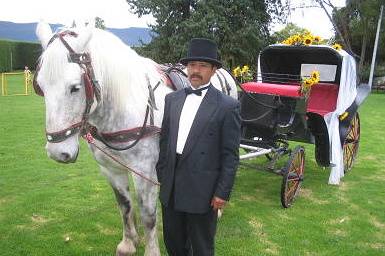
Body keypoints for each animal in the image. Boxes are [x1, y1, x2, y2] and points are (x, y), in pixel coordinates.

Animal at [34, 22, 237, 256]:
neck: (124, 106)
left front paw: (151, 250)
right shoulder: (111, 169)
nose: (57, 152)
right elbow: (124, 205)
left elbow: (148, 215)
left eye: (75, 87)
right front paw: (128, 242)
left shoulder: (144, 170)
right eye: (40, 87)